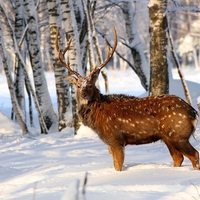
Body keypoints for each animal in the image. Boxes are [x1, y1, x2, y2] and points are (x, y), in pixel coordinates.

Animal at [55, 26, 199, 170]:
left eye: (90, 85)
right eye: (78, 86)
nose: (84, 94)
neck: (98, 116)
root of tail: (193, 112)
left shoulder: (115, 139)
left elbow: (118, 166)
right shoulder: (109, 143)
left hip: (178, 134)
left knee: (194, 155)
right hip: (168, 137)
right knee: (178, 158)